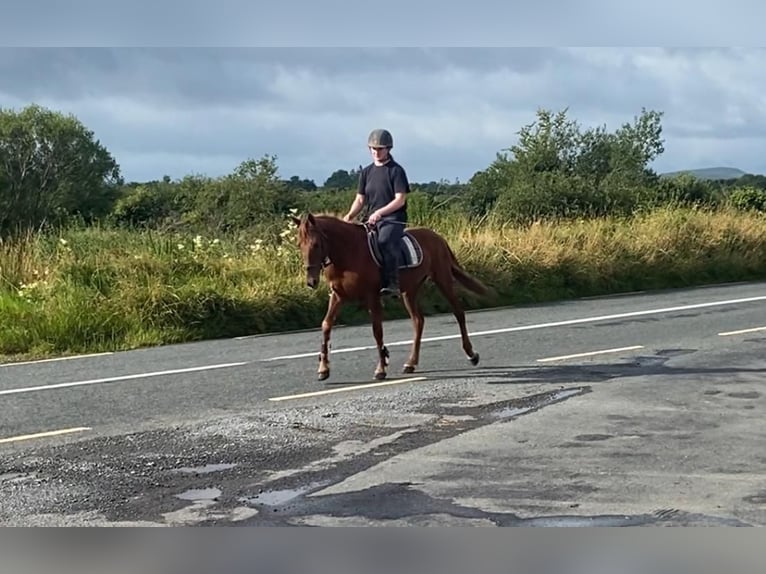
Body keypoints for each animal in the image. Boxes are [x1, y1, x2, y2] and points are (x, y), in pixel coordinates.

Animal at [288, 214, 492, 384]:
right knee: (418, 321)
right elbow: (326, 325)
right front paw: (323, 369)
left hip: (442, 279)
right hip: (410, 291)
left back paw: (472, 354)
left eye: (316, 244)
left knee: (458, 312)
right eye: (299, 244)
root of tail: (437, 237)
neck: (348, 252)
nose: (311, 281)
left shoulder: (372, 297)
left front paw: (381, 369)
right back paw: (410, 363)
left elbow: (377, 331)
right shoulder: (338, 297)